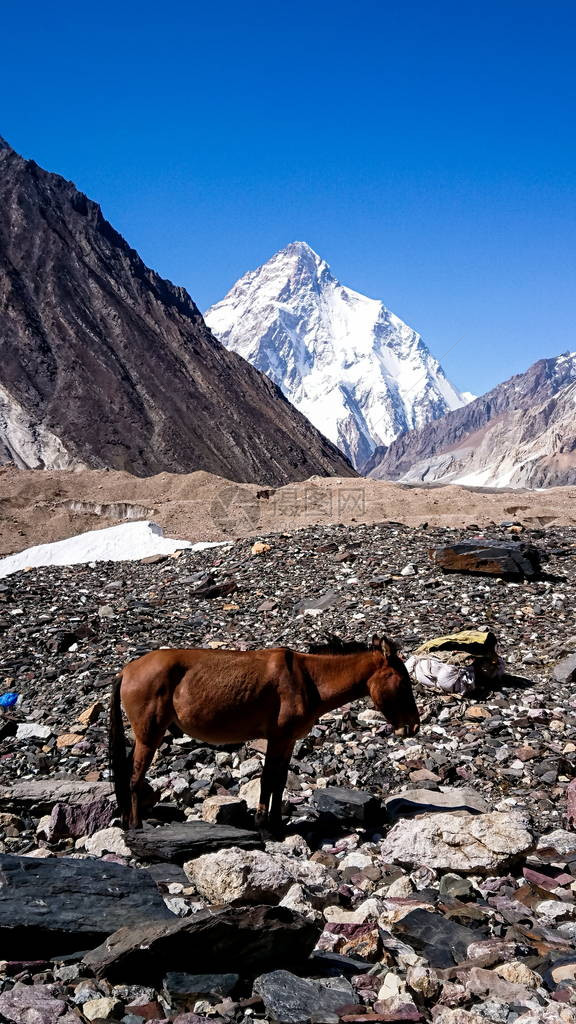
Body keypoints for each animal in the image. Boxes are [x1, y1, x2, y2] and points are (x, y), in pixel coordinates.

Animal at [109, 630, 420, 831]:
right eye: (403, 682)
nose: (414, 726)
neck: (309, 680)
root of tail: (126, 671)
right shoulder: (277, 738)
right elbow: (268, 779)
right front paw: (263, 824)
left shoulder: (287, 741)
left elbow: (279, 781)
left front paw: (276, 822)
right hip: (149, 735)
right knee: (134, 777)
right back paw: (136, 825)